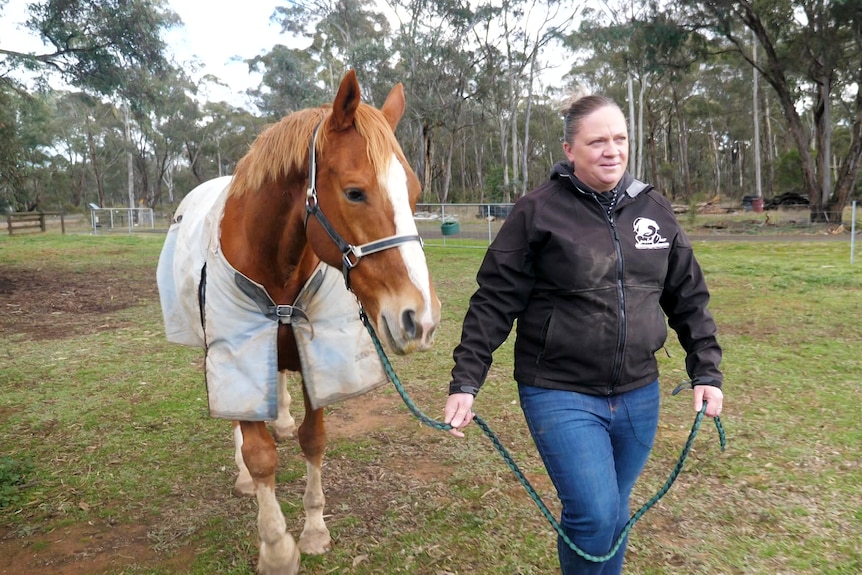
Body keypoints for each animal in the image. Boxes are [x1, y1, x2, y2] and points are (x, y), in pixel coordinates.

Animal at [154, 70, 438, 572]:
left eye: (415, 193)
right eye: (354, 192)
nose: (418, 318)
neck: (275, 264)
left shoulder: (316, 352)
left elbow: (313, 438)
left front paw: (314, 529)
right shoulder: (239, 354)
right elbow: (259, 454)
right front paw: (276, 547)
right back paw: (243, 477)